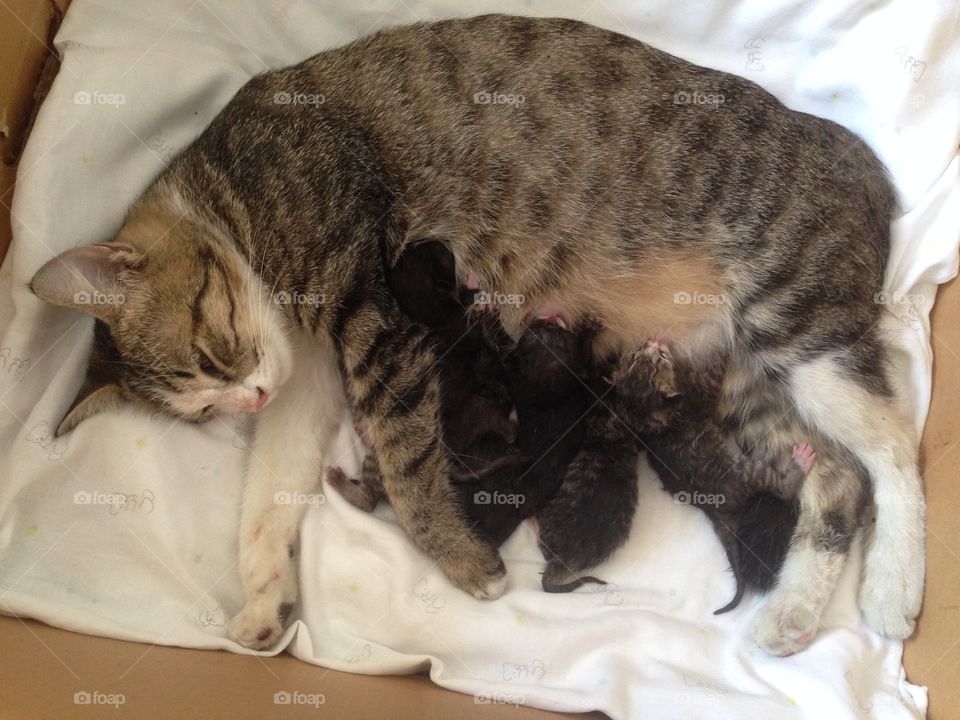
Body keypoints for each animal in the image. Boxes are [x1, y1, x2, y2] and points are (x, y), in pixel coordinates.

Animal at [28, 12, 924, 652]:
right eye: (206, 409)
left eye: (215, 353)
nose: (245, 398)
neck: (235, 199)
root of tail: (856, 158)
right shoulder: (307, 369)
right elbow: (269, 487)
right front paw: (260, 595)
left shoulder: (375, 308)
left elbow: (404, 454)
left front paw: (461, 562)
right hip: (747, 383)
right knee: (837, 480)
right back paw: (796, 612)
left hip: (795, 318)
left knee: (892, 450)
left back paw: (892, 592)